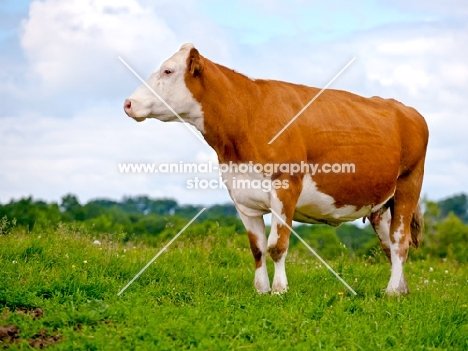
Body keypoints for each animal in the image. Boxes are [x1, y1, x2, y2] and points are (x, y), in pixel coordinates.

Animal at [123, 44, 428, 296]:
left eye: (168, 70)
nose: (128, 103)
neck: (246, 117)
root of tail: (406, 110)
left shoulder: (285, 188)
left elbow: (277, 246)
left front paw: (280, 290)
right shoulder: (242, 197)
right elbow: (257, 248)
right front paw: (261, 289)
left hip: (408, 184)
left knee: (399, 241)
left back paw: (392, 292)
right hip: (381, 202)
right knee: (389, 244)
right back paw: (402, 288)